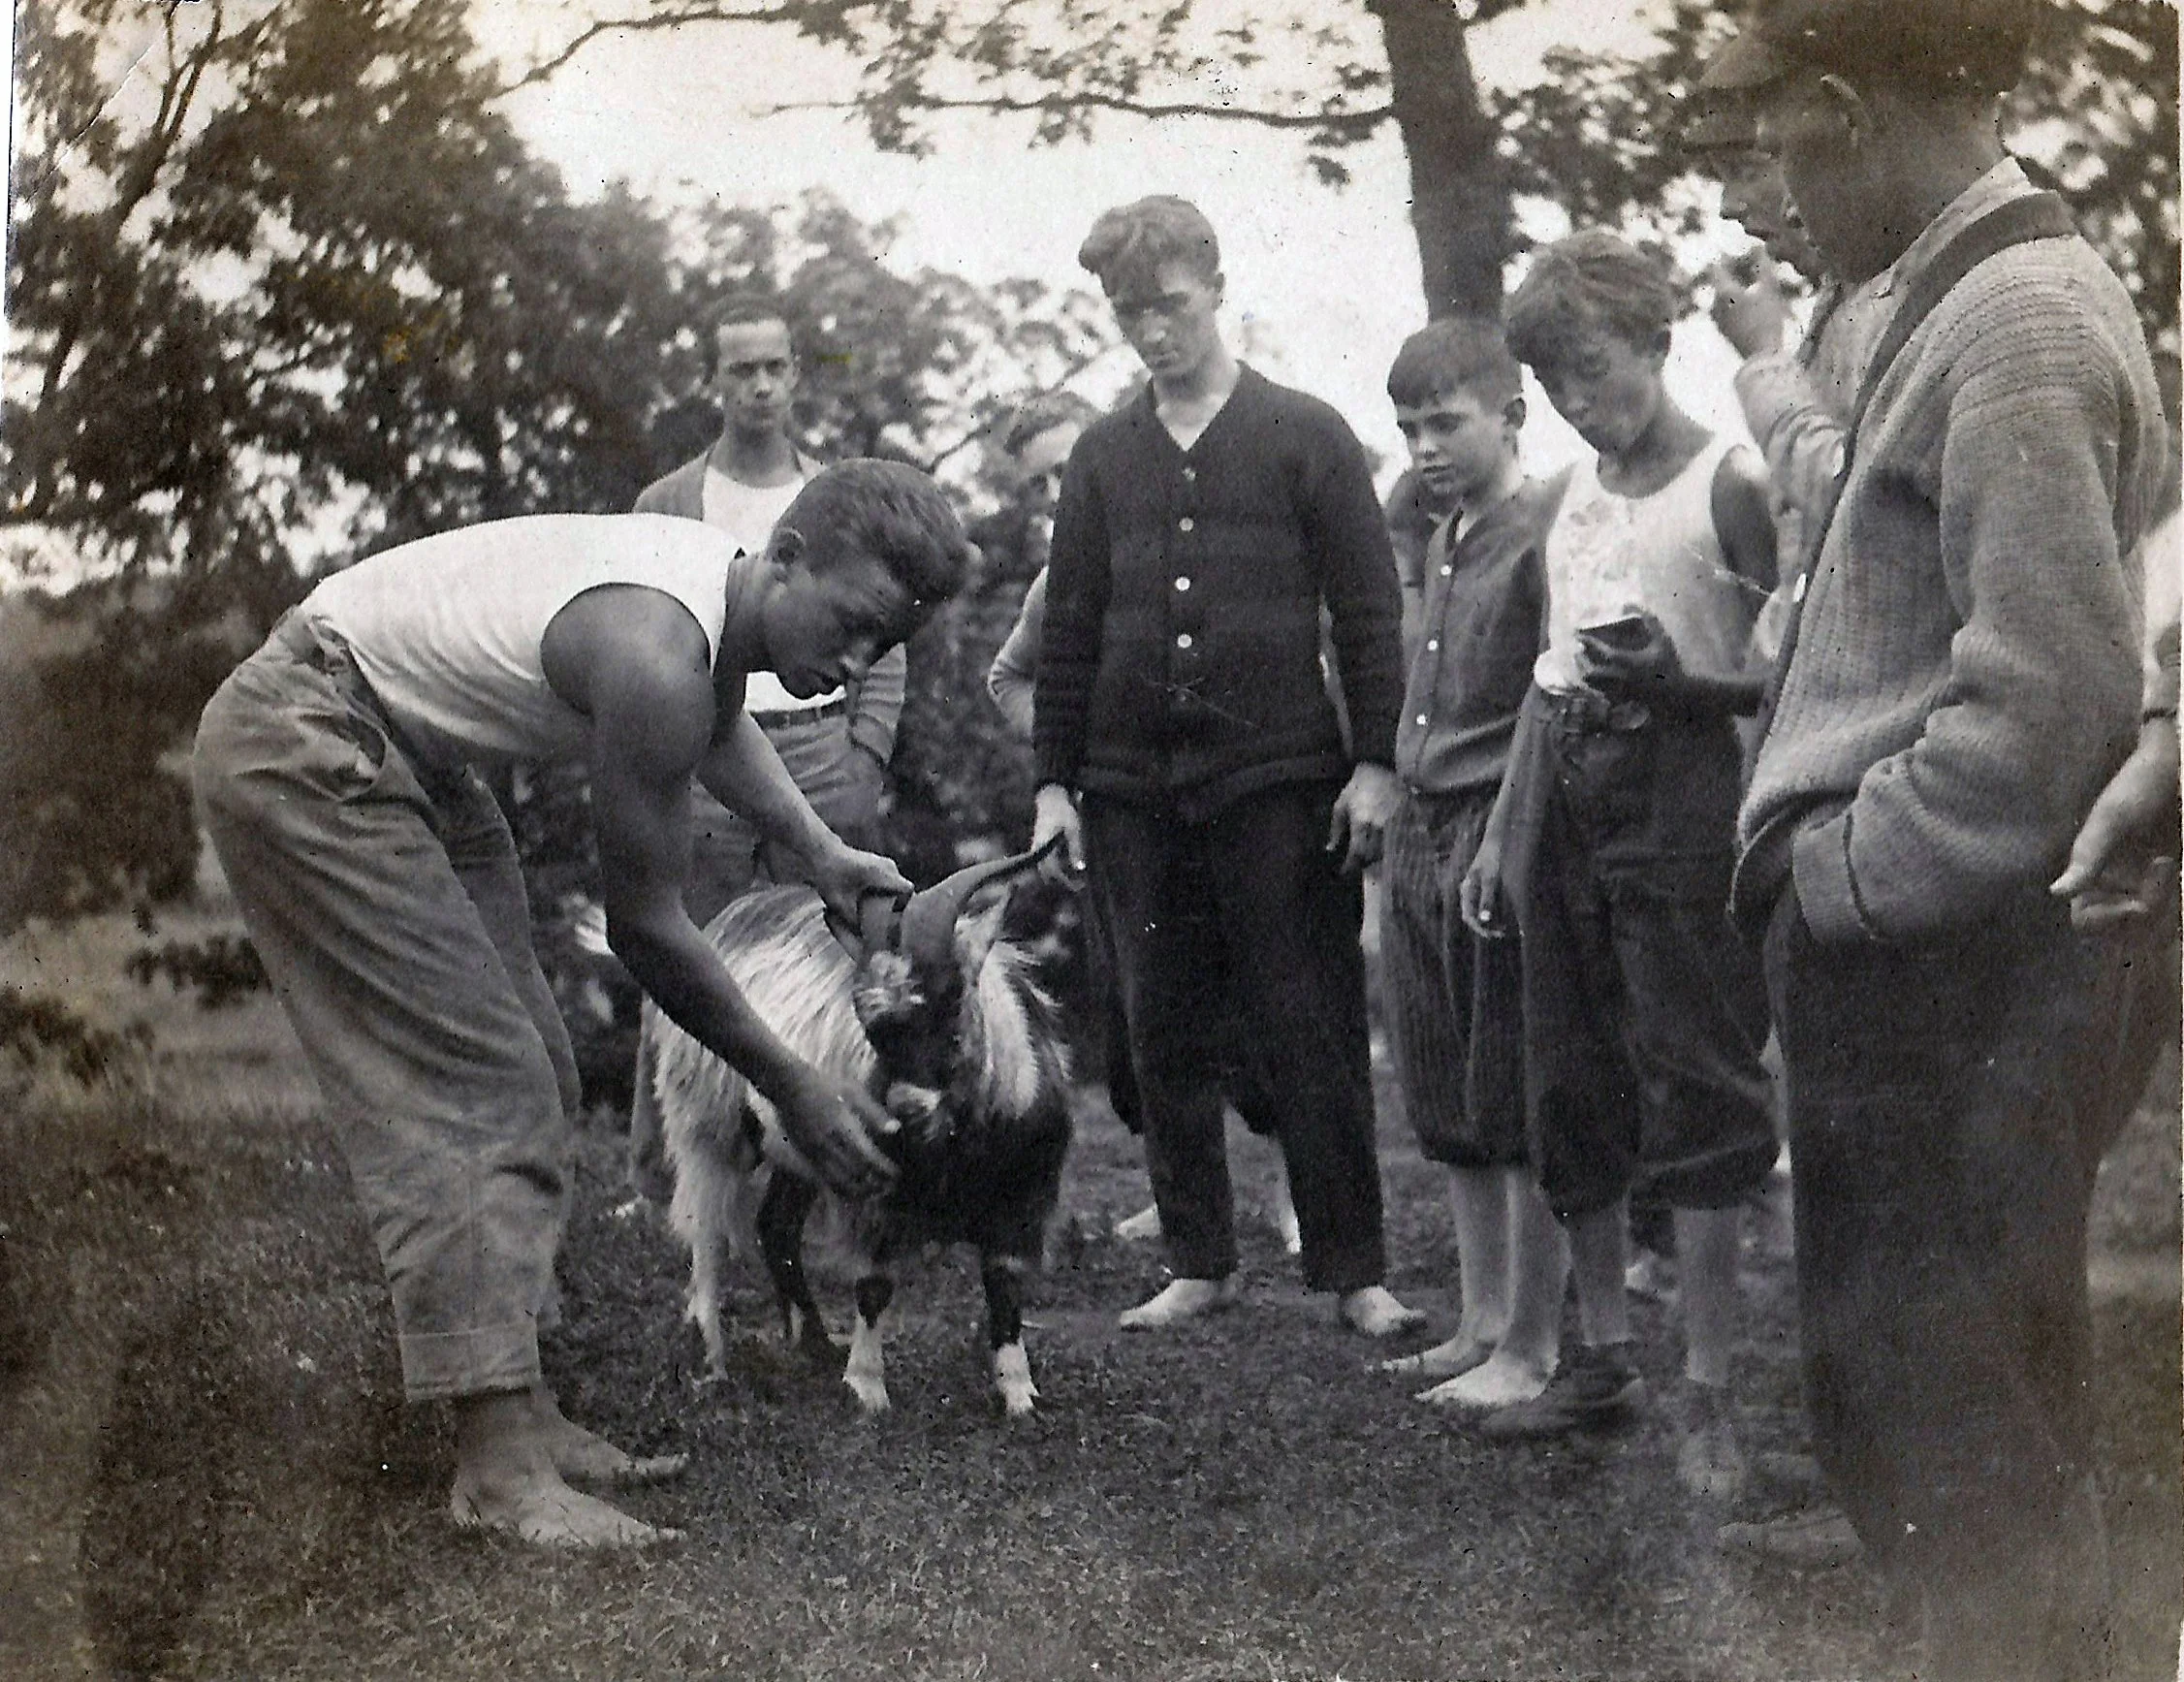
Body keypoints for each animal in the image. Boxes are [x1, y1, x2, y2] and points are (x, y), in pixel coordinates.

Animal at [650, 842, 1073, 1417]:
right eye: (870, 1027)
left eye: (954, 999)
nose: (904, 1116)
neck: (959, 1150)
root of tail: (740, 909)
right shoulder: (877, 1202)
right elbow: (875, 1285)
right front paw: (867, 1388)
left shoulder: (1022, 1201)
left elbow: (1004, 1290)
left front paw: (1019, 1394)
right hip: (707, 1122)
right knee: (707, 1234)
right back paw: (714, 1360)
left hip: (804, 1149)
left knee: (776, 1225)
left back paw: (812, 1342)